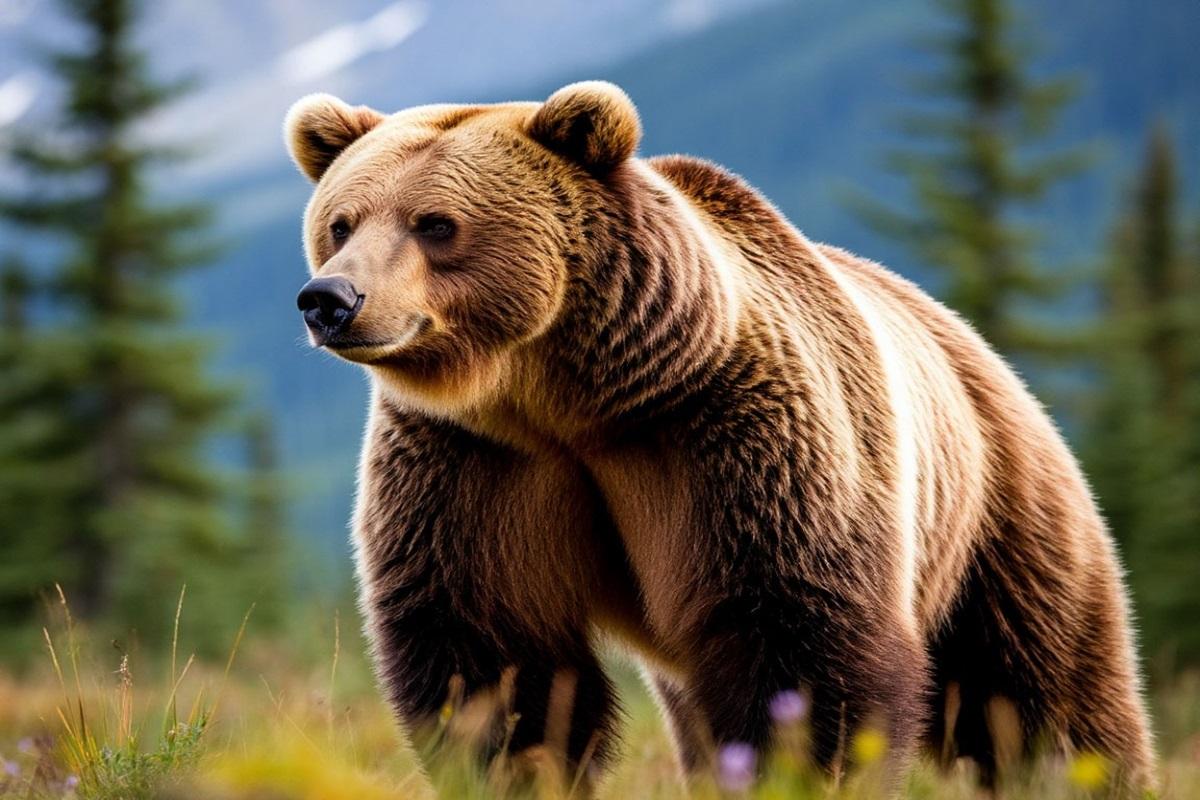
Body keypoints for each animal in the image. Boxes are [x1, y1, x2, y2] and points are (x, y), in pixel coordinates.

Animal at [283, 81, 1154, 793]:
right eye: (341, 221)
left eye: (435, 223)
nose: (331, 298)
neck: (562, 395)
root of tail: (978, 347)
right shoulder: (475, 463)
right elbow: (490, 652)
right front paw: (514, 766)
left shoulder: (729, 436)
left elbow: (800, 638)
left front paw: (797, 770)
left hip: (999, 512)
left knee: (1041, 693)